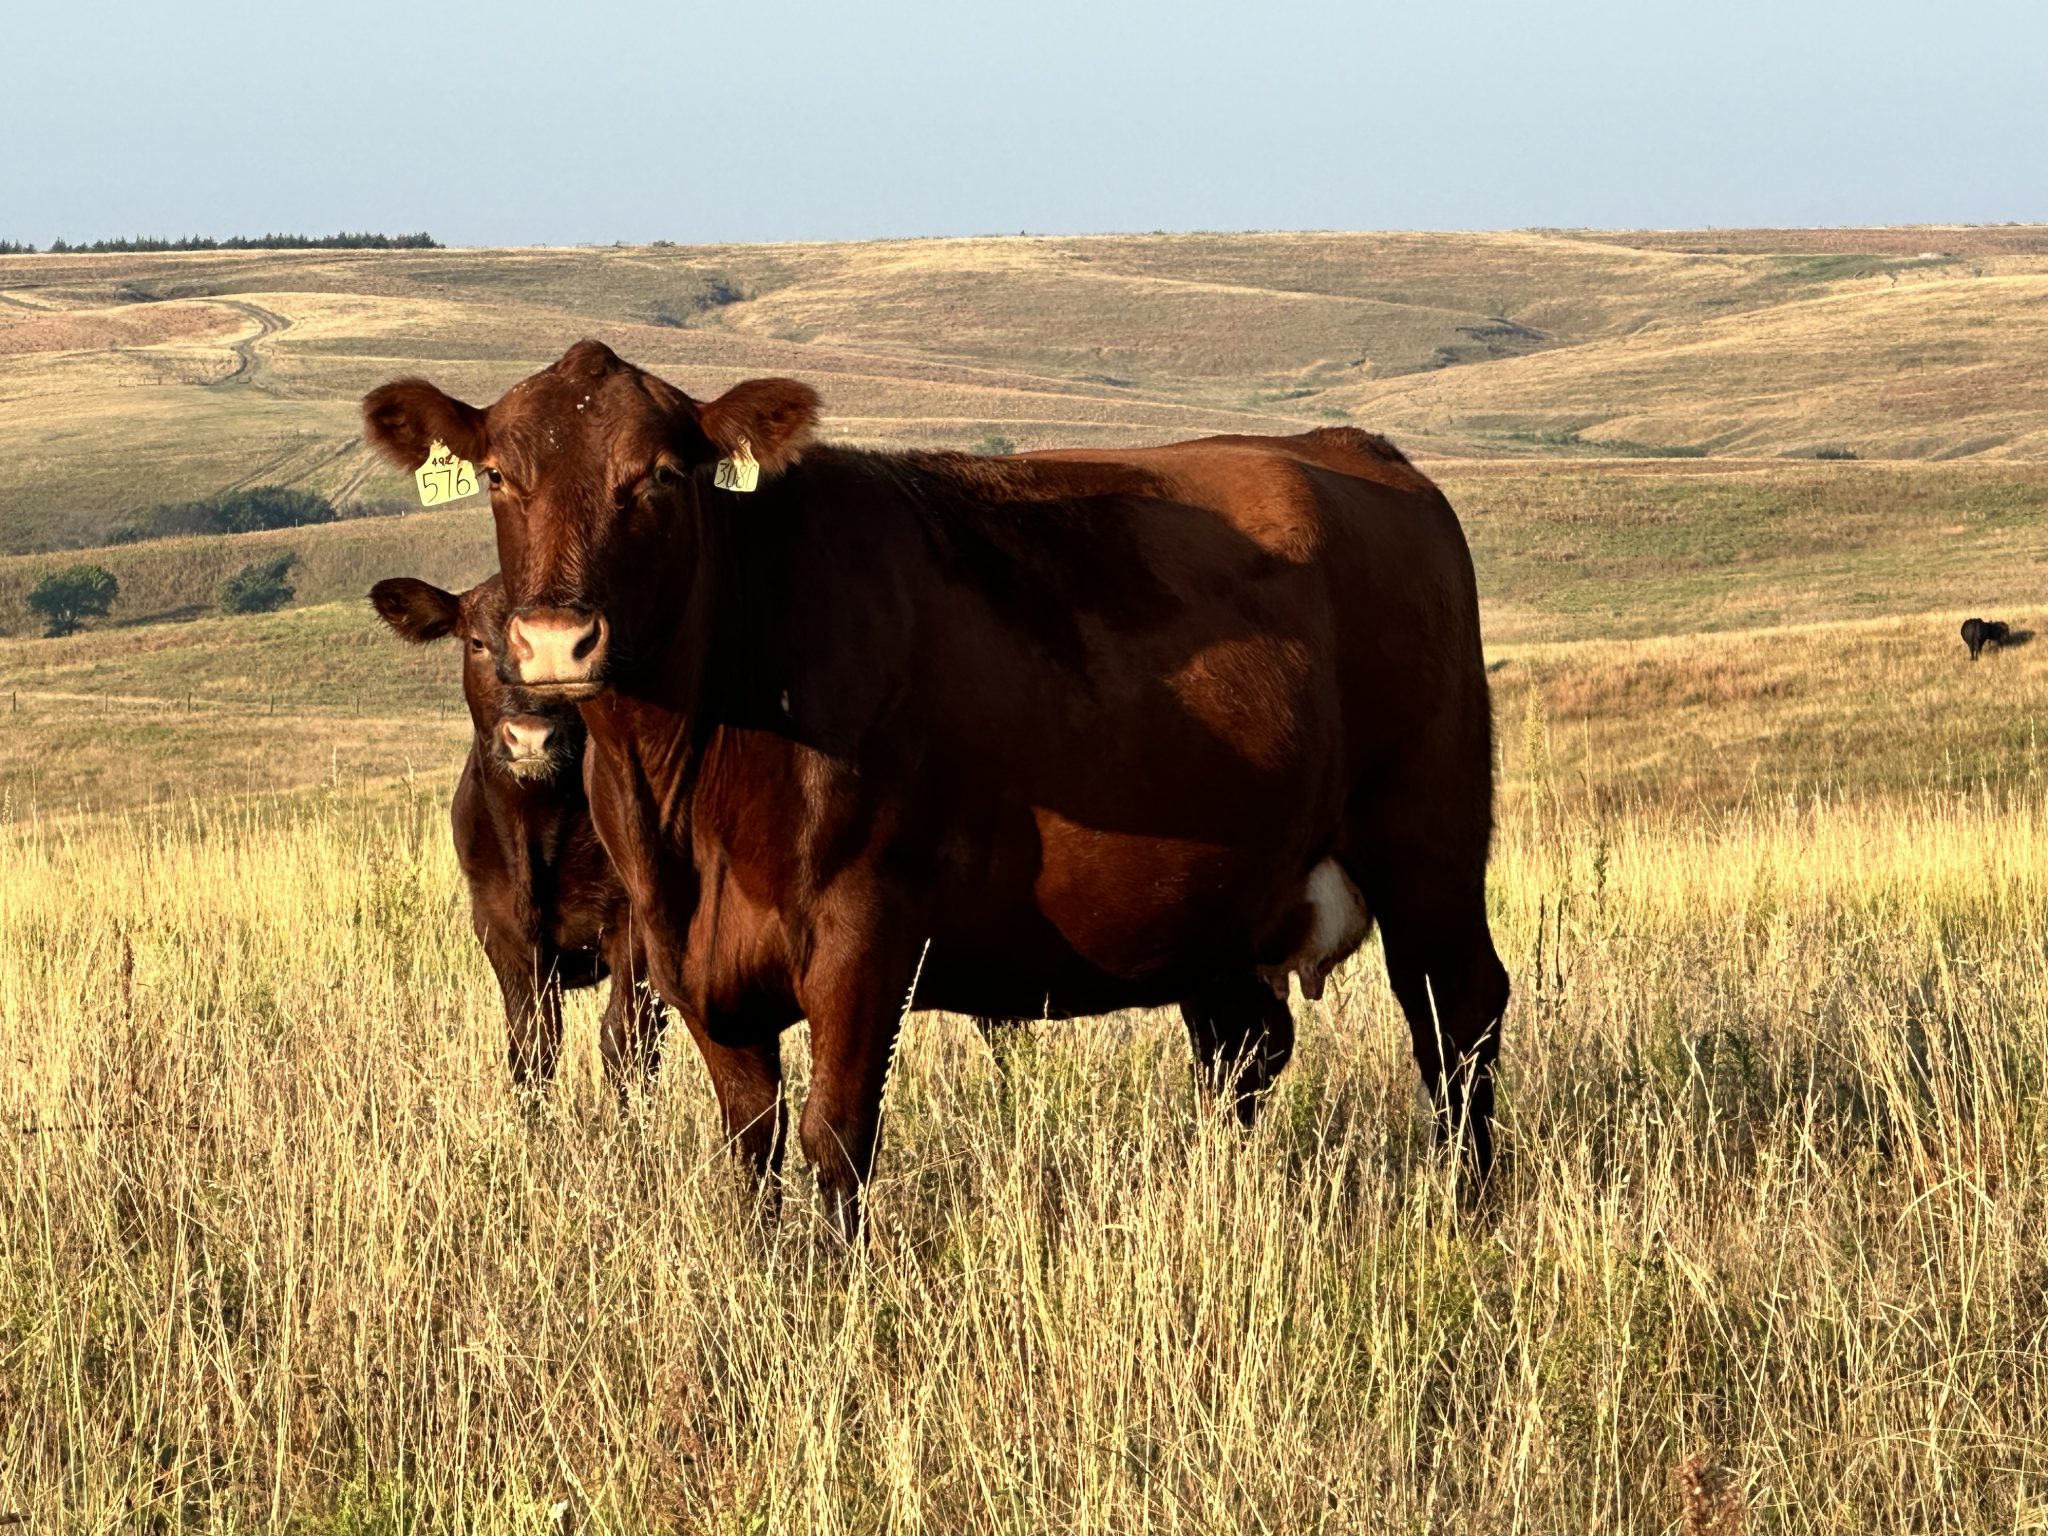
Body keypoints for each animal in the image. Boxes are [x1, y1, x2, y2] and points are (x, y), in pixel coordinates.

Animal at [369, 573, 664, 1094]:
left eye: (576, 651)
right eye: (477, 643)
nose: (529, 736)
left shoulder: (635, 926)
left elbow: (624, 1042)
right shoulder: (500, 927)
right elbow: (532, 1045)